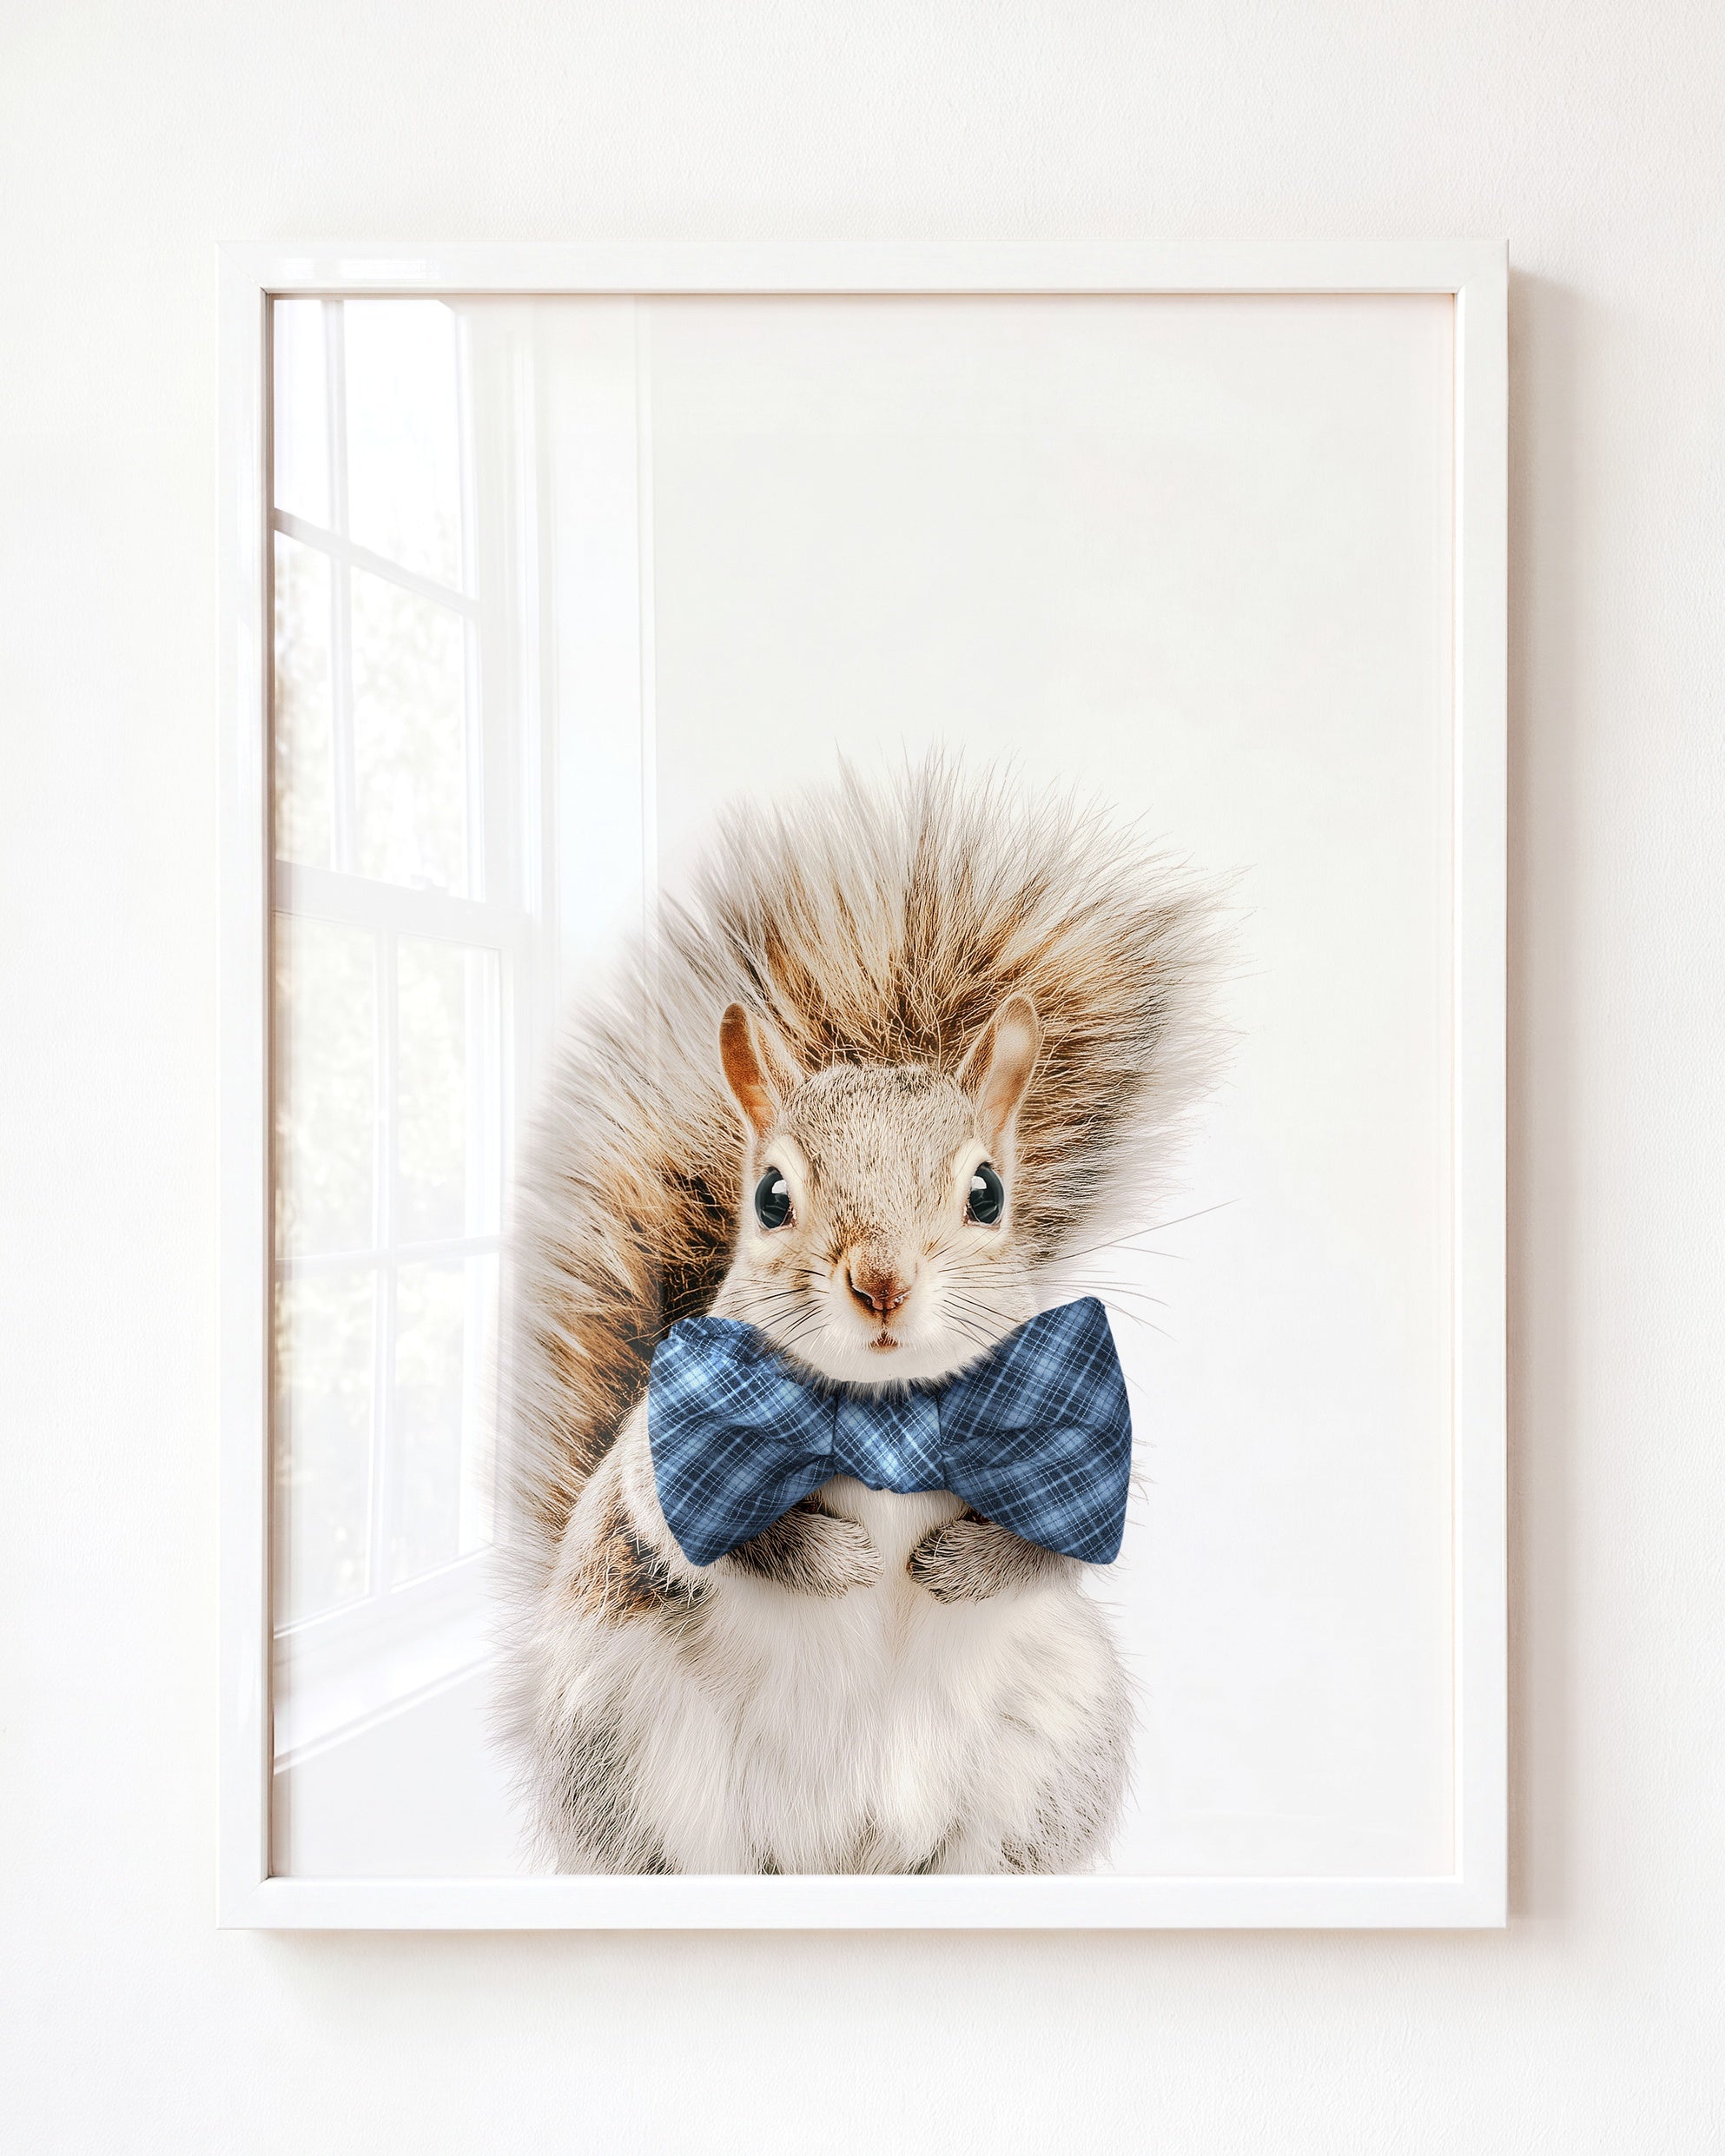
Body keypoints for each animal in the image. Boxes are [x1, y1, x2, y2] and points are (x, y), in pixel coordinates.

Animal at [494, 758, 1221, 1874]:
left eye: (987, 1193)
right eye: (770, 1197)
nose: (880, 1281)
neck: (886, 1414)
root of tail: (848, 1854)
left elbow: (1059, 1544)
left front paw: (961, 1565)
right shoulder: (663, 1458)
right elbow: (706, 1530)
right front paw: (832, 1558)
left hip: (1044, 1751)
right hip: (639, 1757)